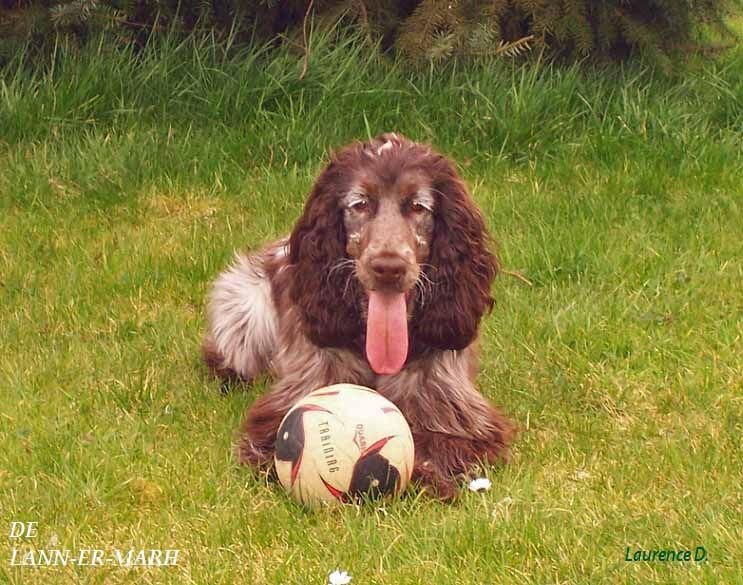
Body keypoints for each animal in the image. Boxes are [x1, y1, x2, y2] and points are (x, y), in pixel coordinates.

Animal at [206, 132, 516, 498]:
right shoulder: (293, 398)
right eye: (361, 204)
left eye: (417, 207)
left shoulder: (455, 412)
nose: (388, 268)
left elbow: (436, 444)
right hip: (242, 304)